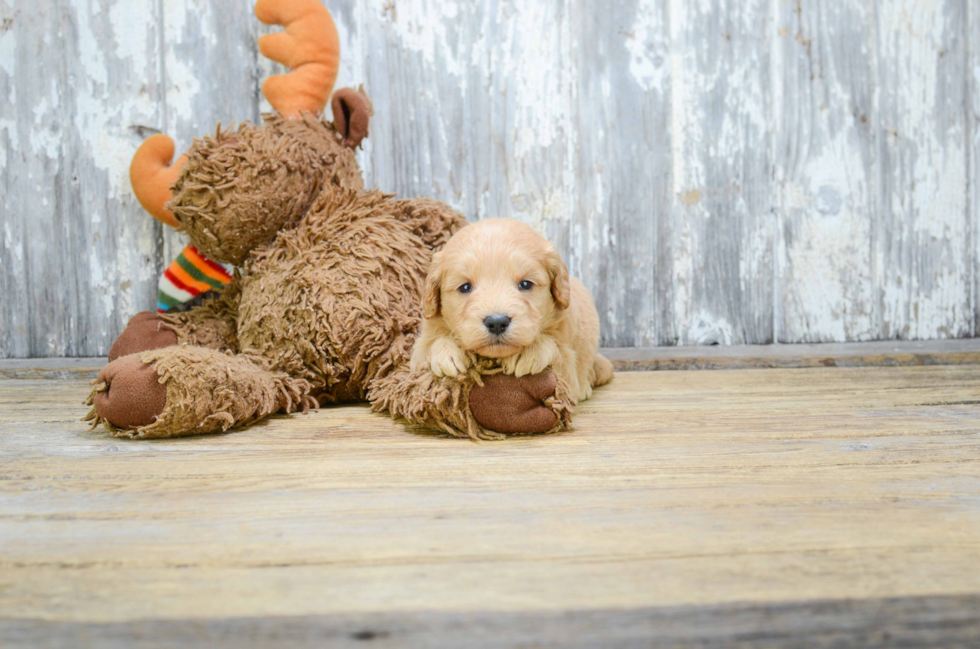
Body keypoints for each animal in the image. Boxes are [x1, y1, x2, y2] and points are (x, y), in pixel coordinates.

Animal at [412, 218, 612, 400]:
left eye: (525, 284)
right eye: (465, 287)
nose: (497, 323)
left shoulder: (569, 376)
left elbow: (557, 352)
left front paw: (529, 350)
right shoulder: (417, 355)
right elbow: (428, 348)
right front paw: (447, 351)